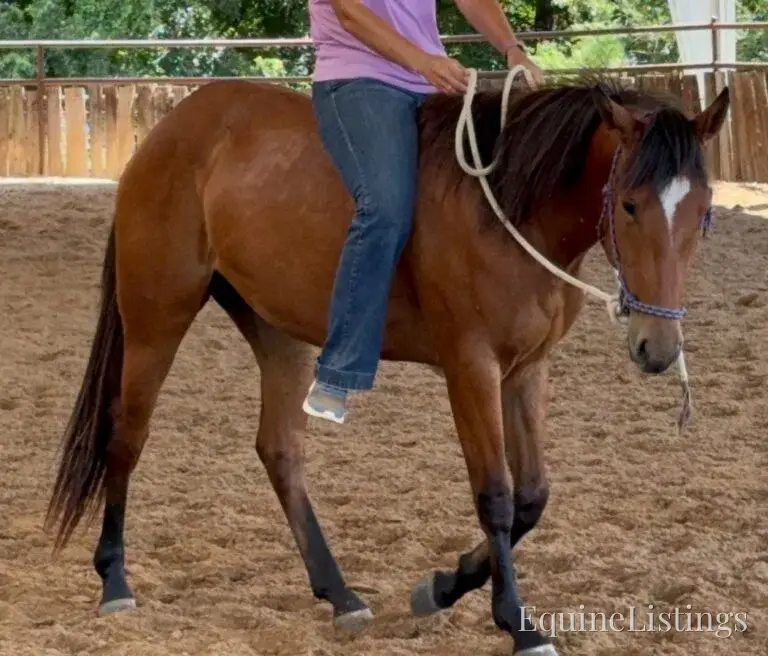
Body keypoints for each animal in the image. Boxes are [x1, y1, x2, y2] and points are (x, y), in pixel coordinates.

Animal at [44, 69, 729, 656]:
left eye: (704, 212)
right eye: (631, 204)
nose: (658, 347)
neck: (510, 208)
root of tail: (169, 132)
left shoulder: (527, 371)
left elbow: (533, 496)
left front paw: (444, 586)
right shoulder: (471, 368)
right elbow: (496, 495)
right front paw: (517, 623)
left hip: (277, 330)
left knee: (280, 450)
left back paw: (340, 593)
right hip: (155, 318)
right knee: (125, 436)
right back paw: (115, 582)